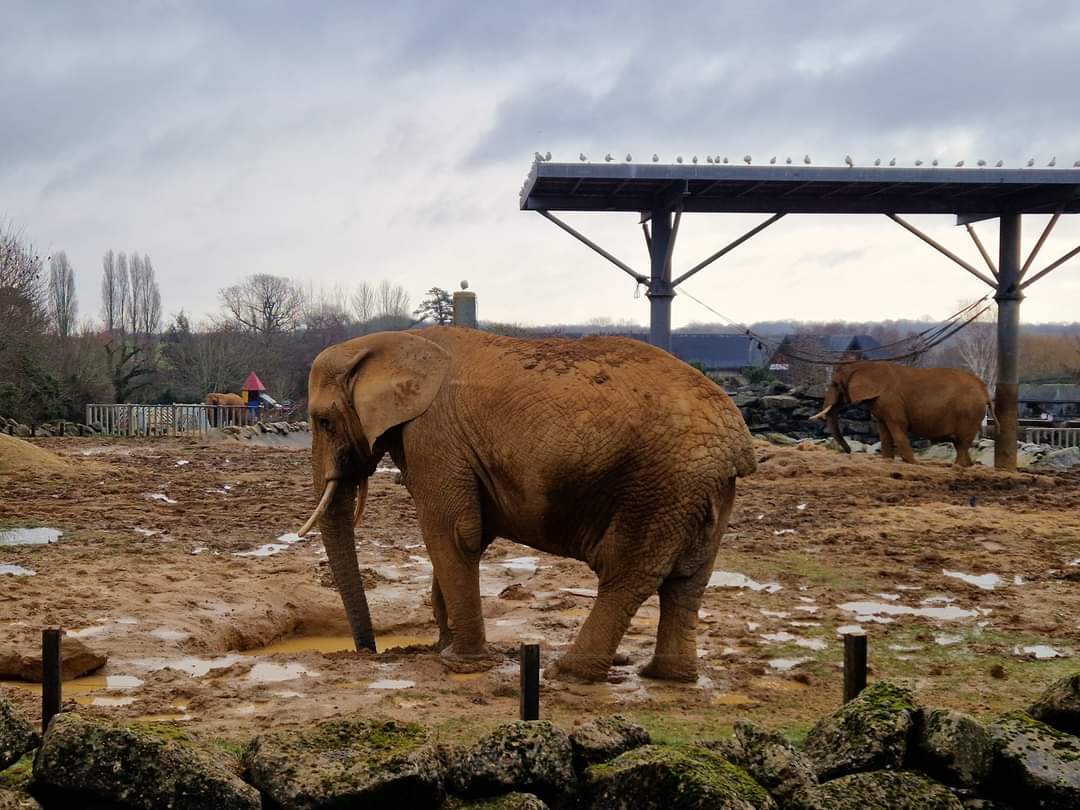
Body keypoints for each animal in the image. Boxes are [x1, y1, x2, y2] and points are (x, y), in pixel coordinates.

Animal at [297, 327, 756, 682]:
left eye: (323, 421)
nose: (368, 653)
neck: (390, 340)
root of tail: (737, 437)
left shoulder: (434, 434)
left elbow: (453, 532)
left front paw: (459, 663)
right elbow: (465, 534)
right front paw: (441, 647)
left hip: (659, 483)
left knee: (627, 573)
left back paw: (568, 674)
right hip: (703, 488)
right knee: (689, 580)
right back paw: (667, 677)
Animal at [810, 361, 994, 467]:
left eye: (835, 384)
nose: (848, 451)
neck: (866, 366)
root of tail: (985, 390)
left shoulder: (891, 400)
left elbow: (898, 427)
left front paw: (912, 463)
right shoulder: (880, 403)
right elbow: (884, 431)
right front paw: (887, 461)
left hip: (969, 412)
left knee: (962, 442)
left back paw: (957, 467)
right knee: (960, 443)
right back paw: (967, 465)